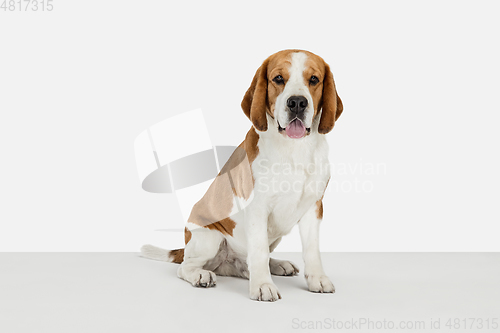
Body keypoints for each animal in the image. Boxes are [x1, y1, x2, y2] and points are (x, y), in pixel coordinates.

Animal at [141, 48, 344, 300]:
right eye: (279, 78)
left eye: (314, 79)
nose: (297, 102)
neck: (294, 149)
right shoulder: (257, 208)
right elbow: (258, 251)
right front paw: (263, 285)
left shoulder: (313, 207)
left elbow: (312, 250)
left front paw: (317, 279)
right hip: (209, 238)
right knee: (186, 267)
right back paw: (201, 275)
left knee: (245, 264)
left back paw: (277, 264)